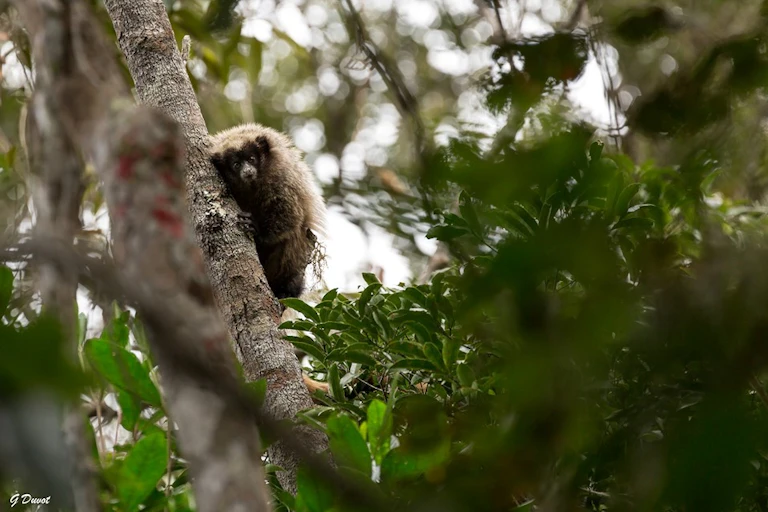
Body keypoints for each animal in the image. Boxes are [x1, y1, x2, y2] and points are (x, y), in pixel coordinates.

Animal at [208, 123, 326, 300]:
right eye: (236, 164)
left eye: (251, 159)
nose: (248, 171)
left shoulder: (282, 176)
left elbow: (291, 214)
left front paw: (258, 230)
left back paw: (286, 288)